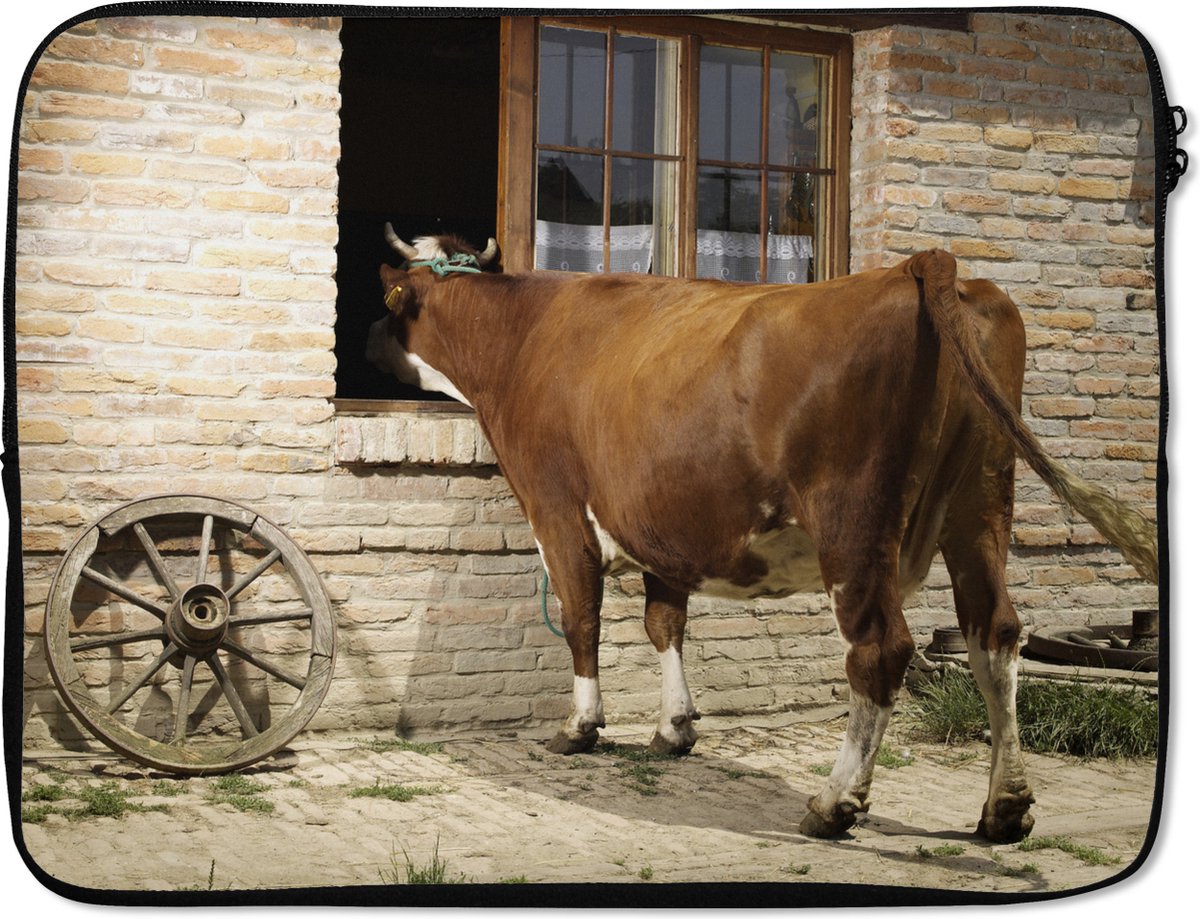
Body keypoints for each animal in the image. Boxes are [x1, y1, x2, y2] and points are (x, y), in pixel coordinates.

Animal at [366, 225, 1158, 843]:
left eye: (387, 306)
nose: (369, 349)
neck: (520, 336)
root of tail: (921, 266)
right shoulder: (662, 523)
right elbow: (665, 623)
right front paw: (674, 727)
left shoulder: (557, 508)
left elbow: (581, 618)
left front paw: (580, 726)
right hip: (981, 505)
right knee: (995, 636)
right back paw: (1006, 806)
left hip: (853, 523)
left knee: (880, 651)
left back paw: (834, 803)